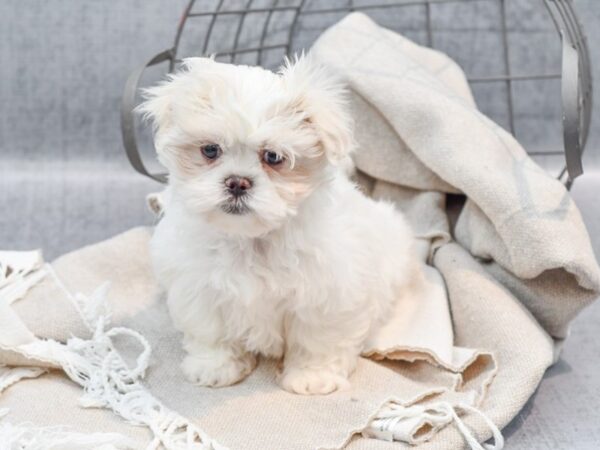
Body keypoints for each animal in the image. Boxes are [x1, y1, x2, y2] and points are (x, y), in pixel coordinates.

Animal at [141, 55, 422, 394]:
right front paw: (216, 367)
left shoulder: (329, 293)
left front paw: (312, 377)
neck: (252, 239)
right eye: (210, 150)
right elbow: (211, 329)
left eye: (273, 156)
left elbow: (318, 337)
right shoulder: (198, 286)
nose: (237, 182)